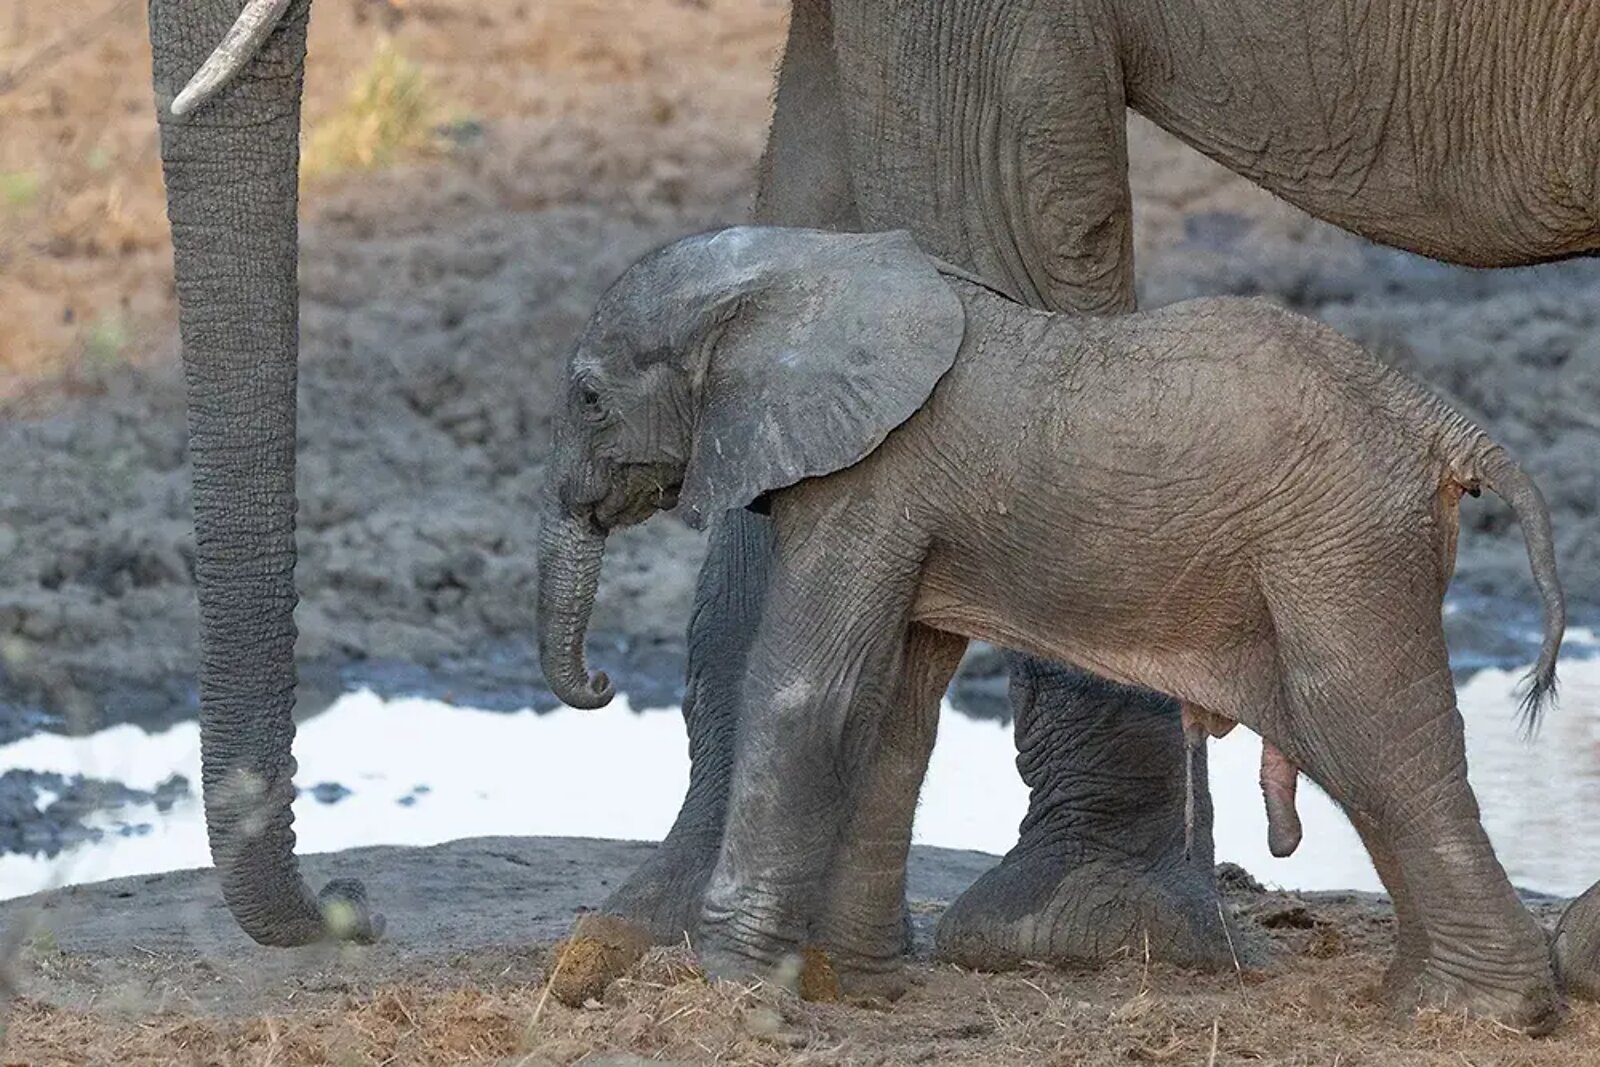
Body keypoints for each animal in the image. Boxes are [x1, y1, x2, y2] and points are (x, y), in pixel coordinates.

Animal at [536, 224, 1568, 1029]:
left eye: (587, 396)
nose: (602, 684)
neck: (797, 266)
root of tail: (1441, 421)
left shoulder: (872, 480)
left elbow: (808, 692)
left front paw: (731, 989)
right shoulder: (903, 510)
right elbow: (892, 715)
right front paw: (860, 990)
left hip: (1339, 541)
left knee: (1366, 732)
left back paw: (1480, 1011)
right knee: (1355, 746)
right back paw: (1420, 1000)